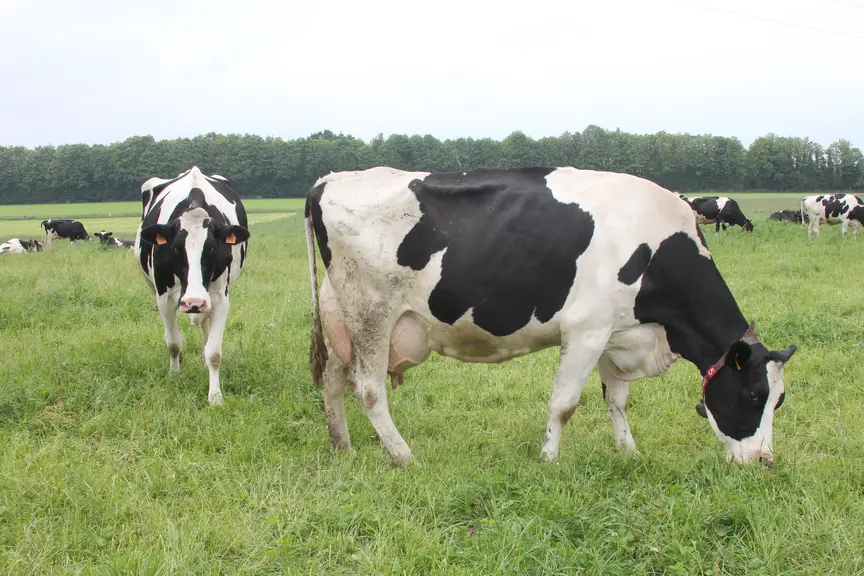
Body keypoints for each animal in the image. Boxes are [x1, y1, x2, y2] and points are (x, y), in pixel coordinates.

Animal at [134, 166, 251, 405]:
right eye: (175, 248)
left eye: (213, 248)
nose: (193, 302)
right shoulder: (163, 297)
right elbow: (173, 342)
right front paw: (174, 376)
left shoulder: (221, 298)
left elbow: (214, 351)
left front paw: (215, 396)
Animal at [304, 166, 798, 468]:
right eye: (753, 395)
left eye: (779, 400)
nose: (764, 461)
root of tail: (326, 180)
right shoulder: (586, 330)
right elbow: (564, 404)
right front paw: (548, 460)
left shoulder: (615, 330)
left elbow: (617, 399)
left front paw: (628, 453)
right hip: (372, 313)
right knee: (369, 390)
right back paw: (405, 457)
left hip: (342, 316)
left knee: (332, 379)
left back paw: (342, 447)